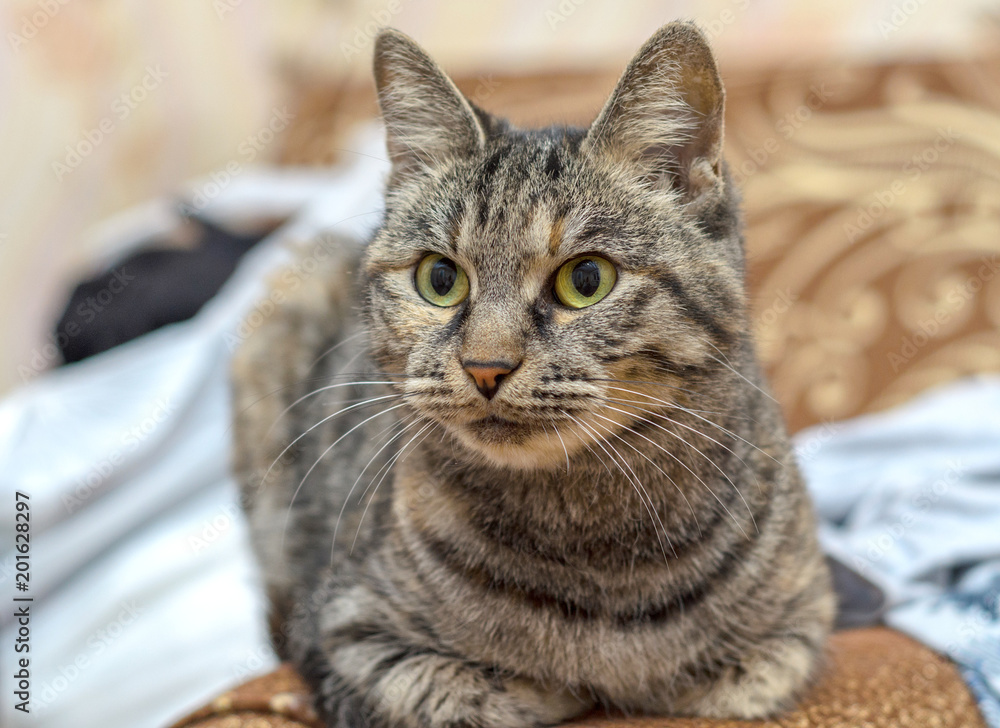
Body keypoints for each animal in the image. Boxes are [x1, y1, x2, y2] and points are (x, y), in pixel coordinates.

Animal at [232, 22, 836, 728]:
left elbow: (733, 685)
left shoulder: (796, 630)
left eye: (586, 279)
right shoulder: (346, 633)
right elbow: (479, 694)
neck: (593, 540)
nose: (485, 367)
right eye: (440, 278)